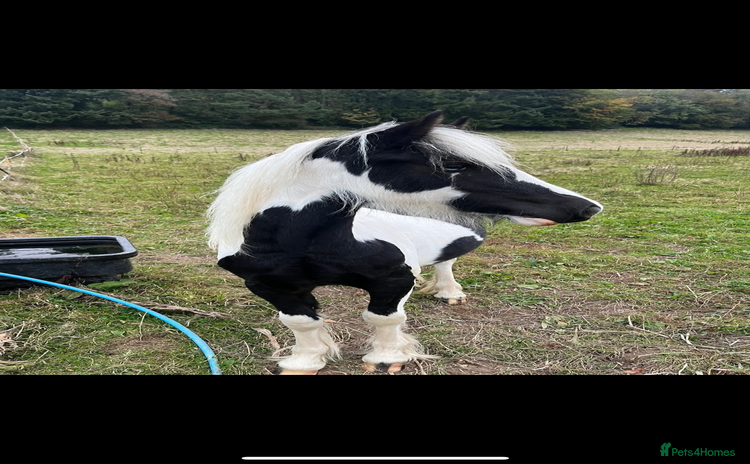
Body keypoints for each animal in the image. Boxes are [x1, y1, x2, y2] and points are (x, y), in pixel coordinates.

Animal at [207, 110, 602, 374]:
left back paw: (450, 293)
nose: (586, 207)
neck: (303, 241)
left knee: (446, 262)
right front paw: (304, 362)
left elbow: (384, 317)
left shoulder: (394, 278)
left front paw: (386, 359)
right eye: (452, 165)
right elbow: (301, 322)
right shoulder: (271, 285)